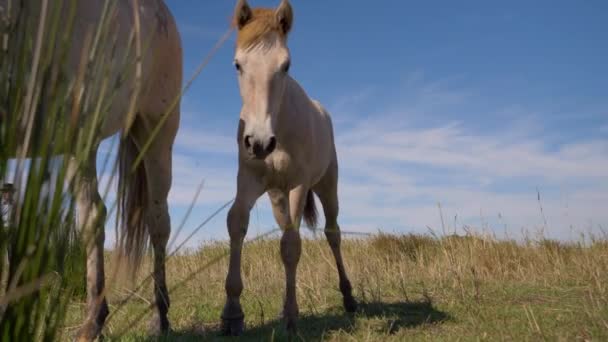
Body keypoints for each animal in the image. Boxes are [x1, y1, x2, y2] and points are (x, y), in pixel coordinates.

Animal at [222, 0, 356, 336]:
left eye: (286, 66)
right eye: (237, 64)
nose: (259, 142)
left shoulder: (298, 185)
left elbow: (292, 245)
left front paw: (292, 317)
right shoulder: (248, 182)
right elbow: (237, 223)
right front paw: (232, 313)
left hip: (326, 186)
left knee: (332, 233)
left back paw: (349, 297)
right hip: (276, 197)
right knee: (286, 230)